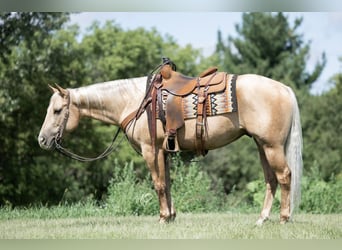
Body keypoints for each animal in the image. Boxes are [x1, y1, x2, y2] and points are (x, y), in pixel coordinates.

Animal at [38, 72, 304, 225]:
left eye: (57, 111)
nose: (42, 140)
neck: (134, 102)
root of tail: (284, 89)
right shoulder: (163, 152)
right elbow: (167, 183)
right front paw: (171, 216)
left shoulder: (150, 150)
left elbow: (158, 183)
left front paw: (163, 218)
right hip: (262, 145)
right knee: (270, 179)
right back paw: (262, 219)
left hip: (272, 146)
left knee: (284, 176)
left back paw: (283, 218)